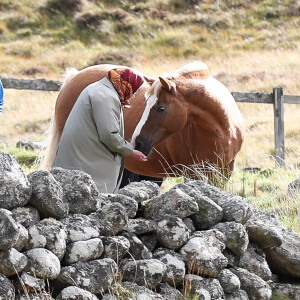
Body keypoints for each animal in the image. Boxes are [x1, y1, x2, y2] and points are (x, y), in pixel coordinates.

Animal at [41, 61, 244, 180]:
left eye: (161, 108)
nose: (137, 143)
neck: (222, 131)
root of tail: (74, 77)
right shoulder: (195, 174)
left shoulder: (223, 173)